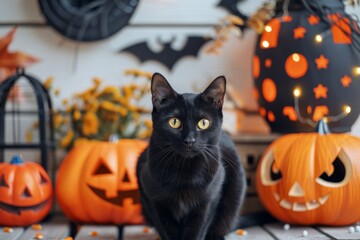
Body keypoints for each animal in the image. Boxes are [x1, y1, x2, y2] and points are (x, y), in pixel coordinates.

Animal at [136, 73, 246, 240]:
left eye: (204, 123)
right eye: (174, 122)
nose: (189, 140)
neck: (184, 171)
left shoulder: (208, 201)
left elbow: (197, 230)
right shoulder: (153, 199)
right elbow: (167, 229)